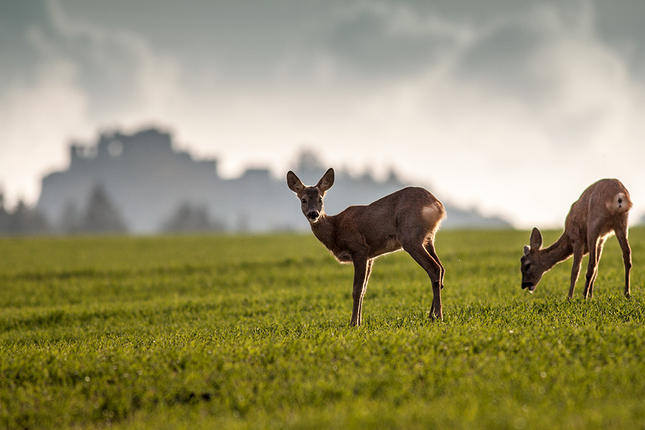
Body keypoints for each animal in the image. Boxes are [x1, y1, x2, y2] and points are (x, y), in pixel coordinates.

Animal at [288, 168, 448, 326]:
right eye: (303, 199)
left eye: (320, 199)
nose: (313, 214)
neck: (335, 230)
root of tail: (438, 205)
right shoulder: (370, 257)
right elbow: (364, 289)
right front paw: (359, 321)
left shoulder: (359, 249)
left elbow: (357, 289)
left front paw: (353, 324)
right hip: (428, 239)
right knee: (441, 269)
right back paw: (431, 315)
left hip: (410, 237)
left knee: (434, 268)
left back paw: (438, 317)